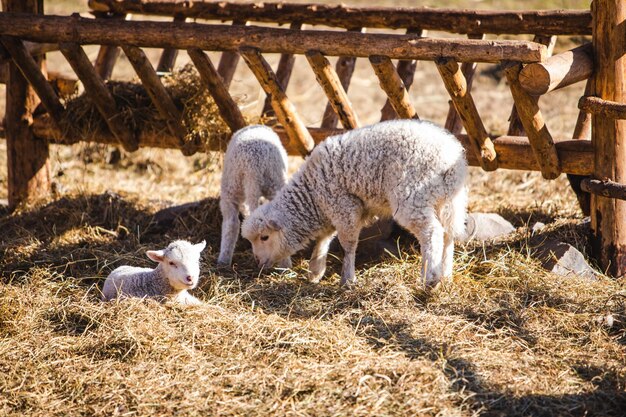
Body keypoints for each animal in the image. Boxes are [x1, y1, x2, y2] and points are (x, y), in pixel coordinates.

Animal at [241, 117, 466, 286]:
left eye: (264, 237)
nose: (257, 261)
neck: (312, 194)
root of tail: (449, 158)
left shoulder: (344, 206)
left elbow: (347, 244)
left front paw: (347, 279)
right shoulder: (334, 209)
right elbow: (325, 237)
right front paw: (315, 270)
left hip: (412, 198)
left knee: (432, 232)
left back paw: (429, 278)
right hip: (448, 201)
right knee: (448, 234)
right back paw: (445, 274)